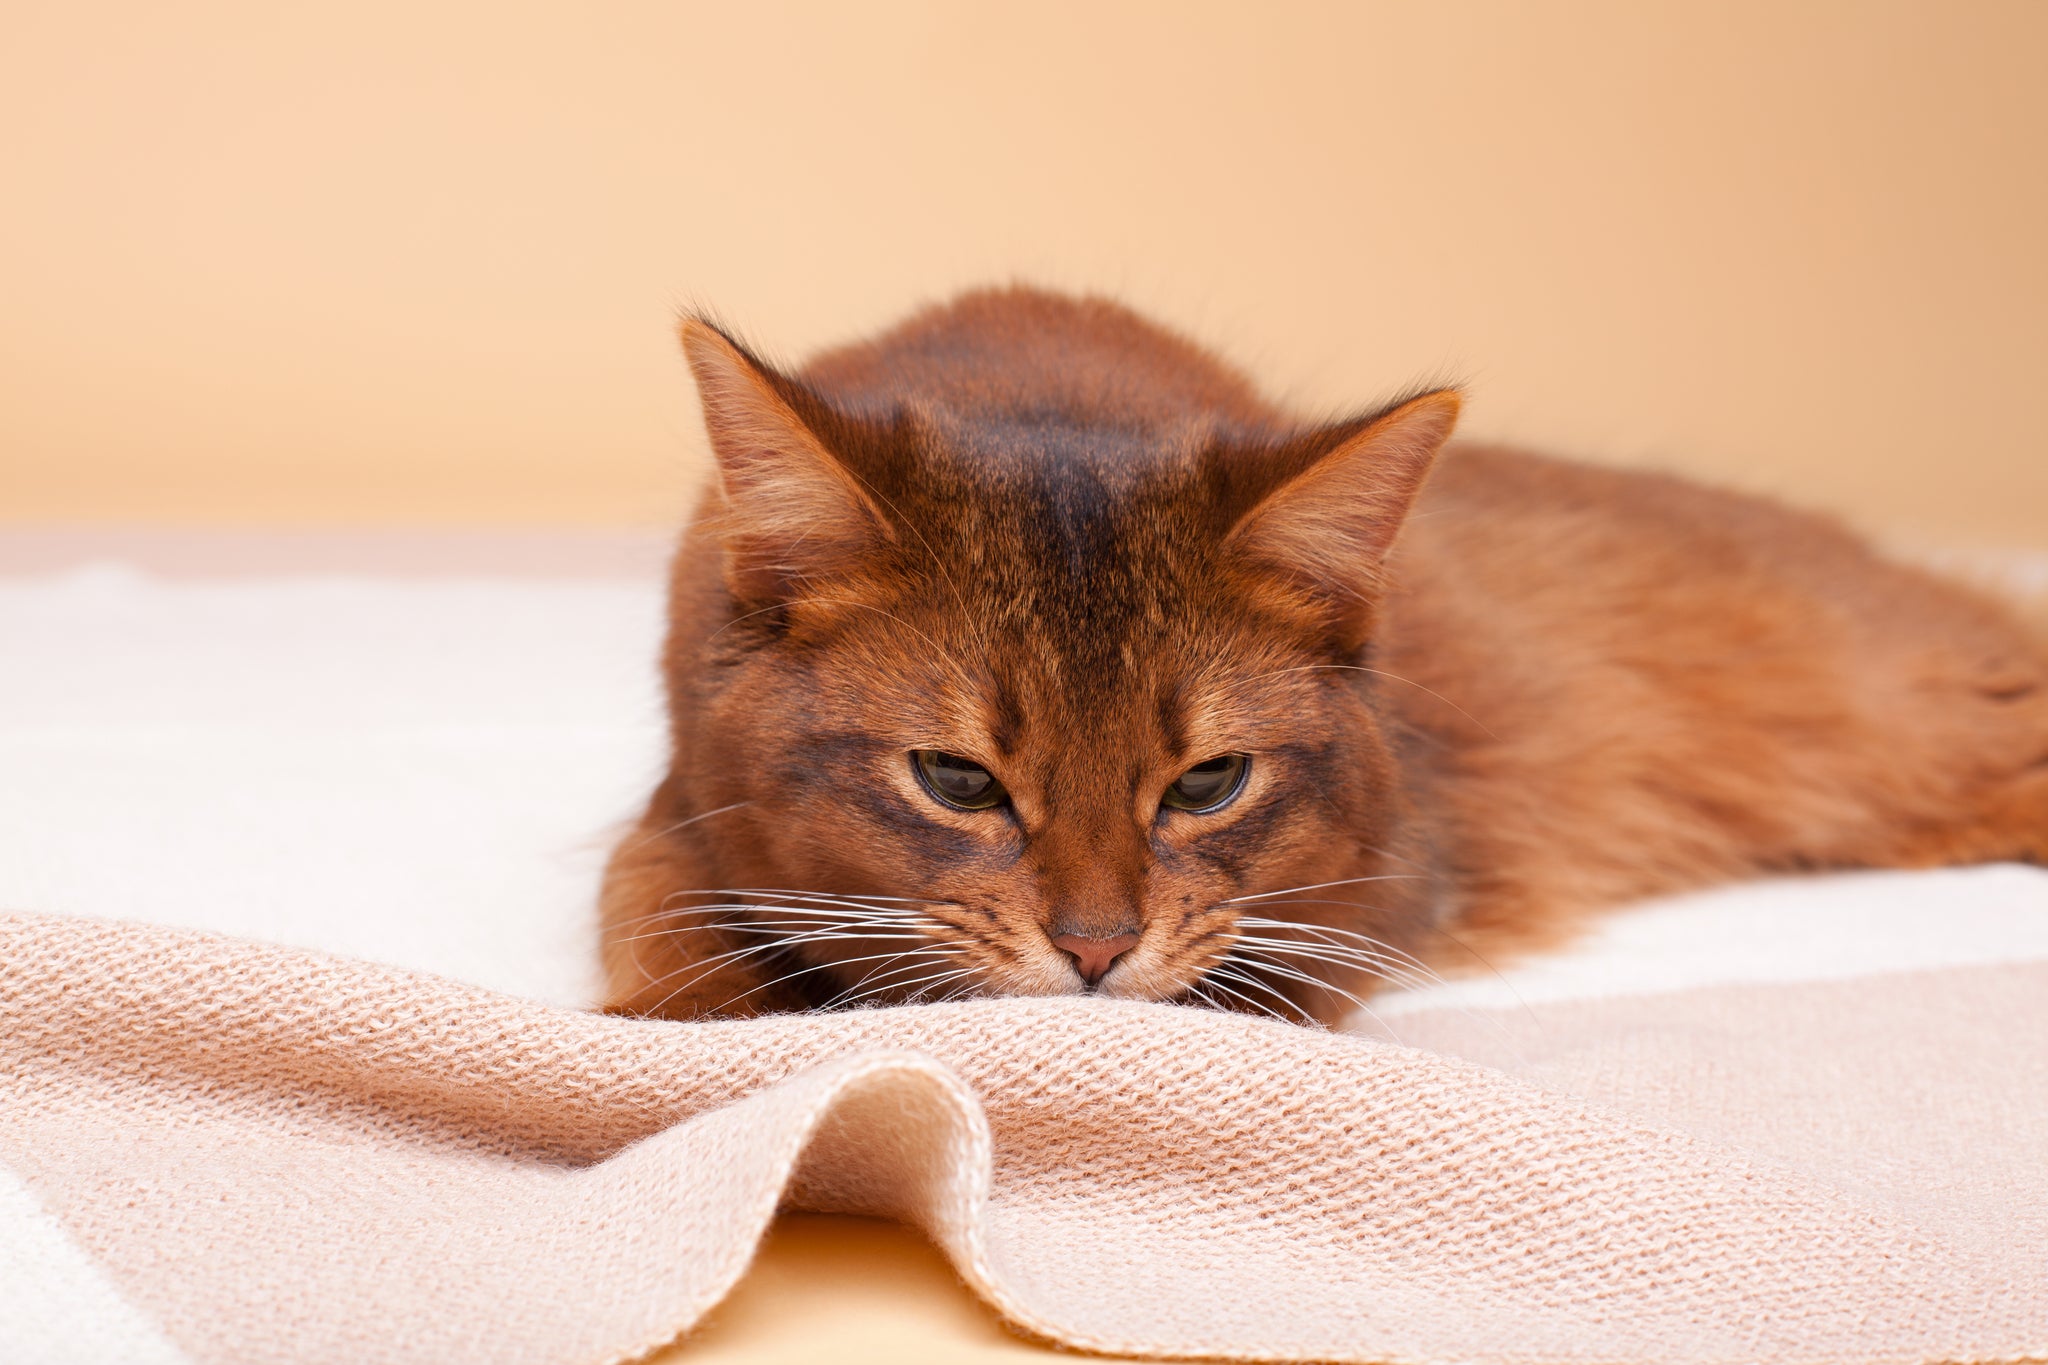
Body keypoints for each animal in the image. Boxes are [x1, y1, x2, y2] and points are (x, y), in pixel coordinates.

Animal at [598, 288, 2048, 1023]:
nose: (1093, 952)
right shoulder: (687, 806)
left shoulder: (1372, 894)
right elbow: (657, 915)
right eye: (956, 781)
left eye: (1207, 783)